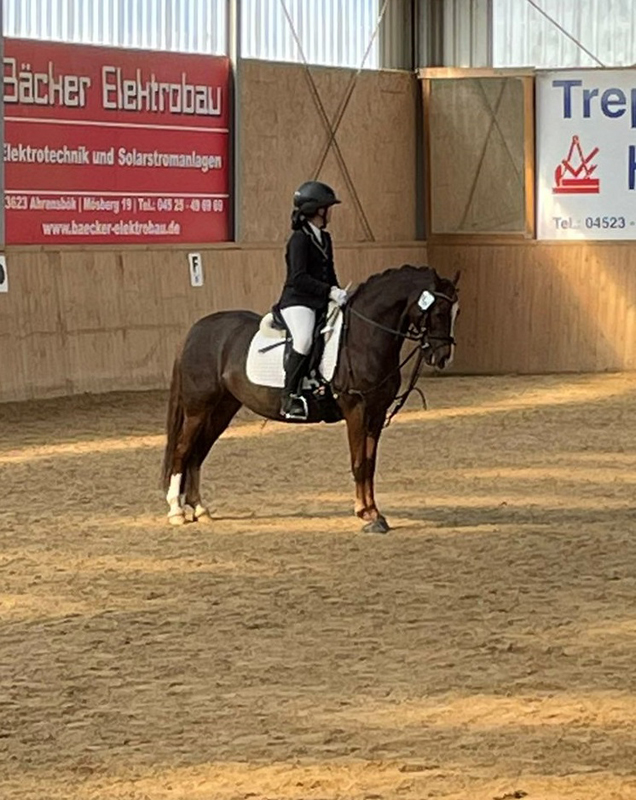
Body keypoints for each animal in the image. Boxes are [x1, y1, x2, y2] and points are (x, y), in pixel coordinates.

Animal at [161, 264, 460, 533]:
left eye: (456, 311)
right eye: (439, 311)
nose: (441, 357)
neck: (363, 337)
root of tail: (197, 329)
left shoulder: (376, 413)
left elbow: (370, 464)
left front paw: (375, 512)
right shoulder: (356, 410)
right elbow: (359, 463)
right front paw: (365, 513)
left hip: (222, 409)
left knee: (197, 454)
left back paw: (200, 509)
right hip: (198, 409)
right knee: (182, 450)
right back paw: (176, 511)